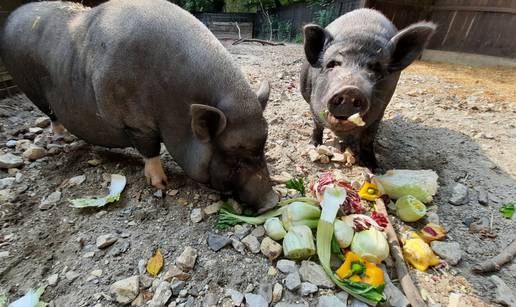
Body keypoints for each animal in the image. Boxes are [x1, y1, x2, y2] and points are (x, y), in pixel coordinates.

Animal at [1, 0, 278, 212]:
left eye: (262, 150)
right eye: (235, 158)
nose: (273, 202)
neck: (175, 105)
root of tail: (12, 17)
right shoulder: (136, 124)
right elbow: (150, 150)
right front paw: (161, 184)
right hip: (30, 89)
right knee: (52, 116)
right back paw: (61, 139)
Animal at [298, 9, 436, 171]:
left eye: (376, 70)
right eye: (332, 64)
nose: (350, 90)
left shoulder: (380, 112)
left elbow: (368, 137)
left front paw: (375, 168)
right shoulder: (312, 105)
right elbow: (317, 126)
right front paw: (313, 146)